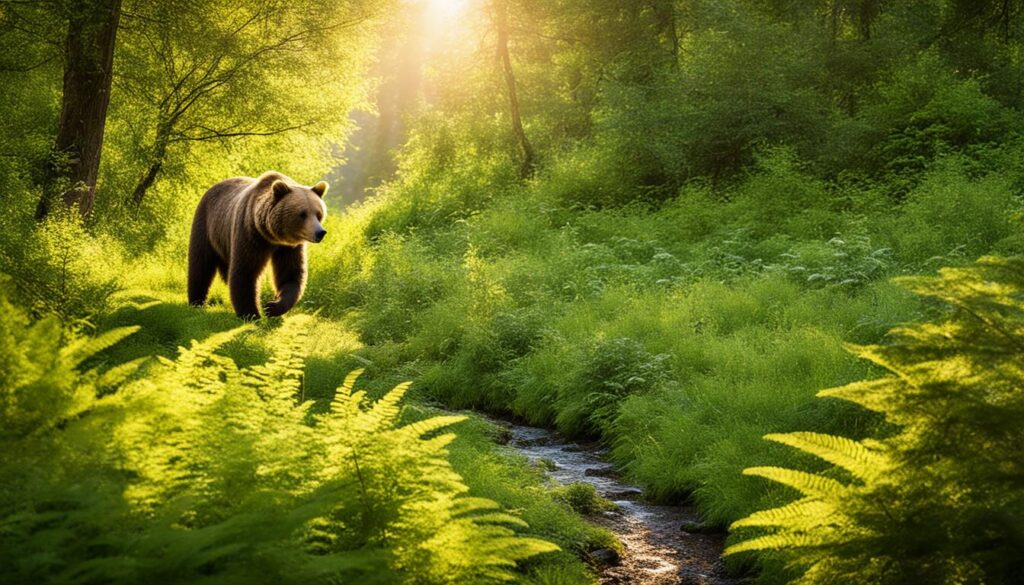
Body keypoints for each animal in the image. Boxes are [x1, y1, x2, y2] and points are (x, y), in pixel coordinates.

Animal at [188, 171, 328, 320]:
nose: (320, 232)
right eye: (302, 214)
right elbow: (245, 271)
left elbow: (291, 274)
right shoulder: (250, 234)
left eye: (319, 214)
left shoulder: (289, 247)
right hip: (205, 224)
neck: (272, 236)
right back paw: (196, 302)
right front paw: (252, 314)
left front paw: (273, 307)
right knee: (200, 264)